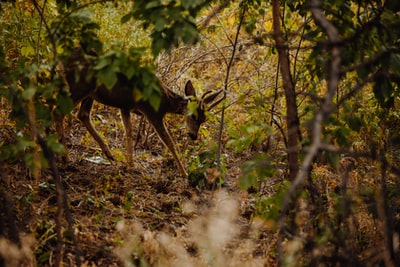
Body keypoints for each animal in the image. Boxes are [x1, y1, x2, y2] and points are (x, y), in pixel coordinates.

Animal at [59, 47, 223, 178]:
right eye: (193, 116)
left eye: (203, 119)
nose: (193, 136)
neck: (165, 101)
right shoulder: (152, 112)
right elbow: (169, 143)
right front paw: (184, 173)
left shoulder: (125, 106)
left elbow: (129, 132)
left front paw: (130, 164)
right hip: (79, 85)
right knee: (58, 111)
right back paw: (65, 157)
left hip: (90, 92)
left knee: (82, 114)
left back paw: (108, 154)